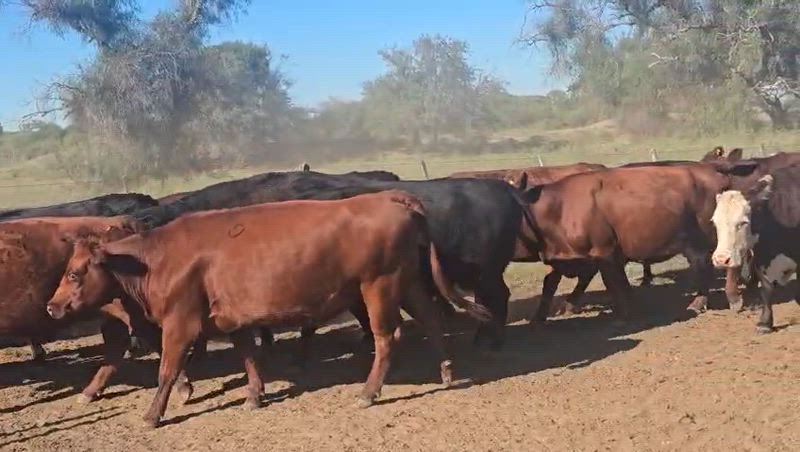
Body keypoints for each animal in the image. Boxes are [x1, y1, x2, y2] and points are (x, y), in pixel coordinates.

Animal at [46, 191, 492, 427]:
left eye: (74, 272)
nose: (52, 307)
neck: (157, 258)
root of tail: (389, 197)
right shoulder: (232, 318)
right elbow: (248, 355)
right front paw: (255, 395)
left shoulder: (180, 323)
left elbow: (168, 371)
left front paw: (153, 415)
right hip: (408, 282)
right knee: (431, 319)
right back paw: (446, 372)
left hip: (378, 286)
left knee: (388, 336)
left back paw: (369, 392)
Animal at [518, 164, 734, 320]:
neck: (559, 208)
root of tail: (718, 176)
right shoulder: (571, 259)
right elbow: (550, 284)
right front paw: (539, 318)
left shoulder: (604, 253)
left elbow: (615, 283)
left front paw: (624, 313)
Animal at [710, 165, 800, 333]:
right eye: (714, 222)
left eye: (743, 222)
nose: (721, 259)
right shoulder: (761, 258)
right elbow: (766, 289)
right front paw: (765, 323)